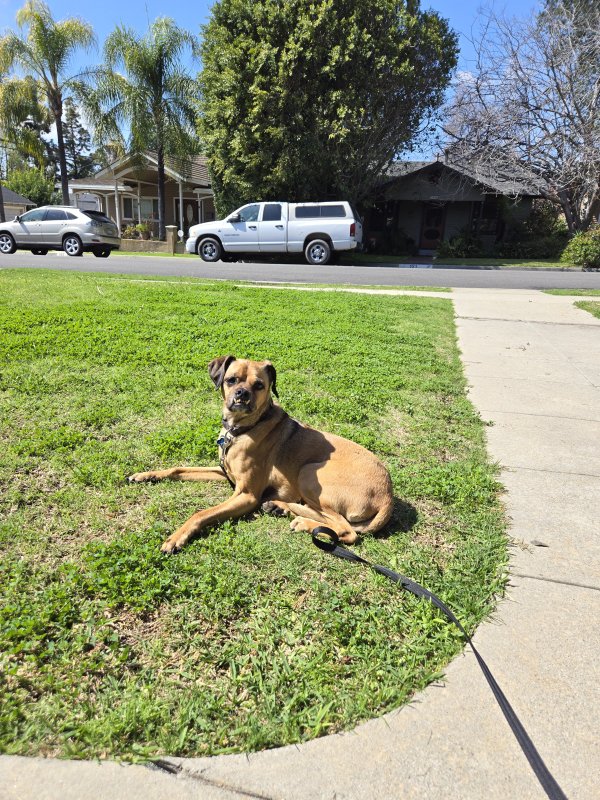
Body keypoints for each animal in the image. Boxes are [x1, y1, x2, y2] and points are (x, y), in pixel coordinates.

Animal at [129, 358, 394, 552]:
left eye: (259, 385)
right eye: (231, 380)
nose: (241, 394)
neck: (241, 430)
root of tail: (388, 497)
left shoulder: (246, 495)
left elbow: (201, 513)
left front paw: (177, 537)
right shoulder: (224, 472)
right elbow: (179, 469)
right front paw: (146, 475)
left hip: (309, 473)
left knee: (346, 530)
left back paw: (303, 521)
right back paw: (281, 507)